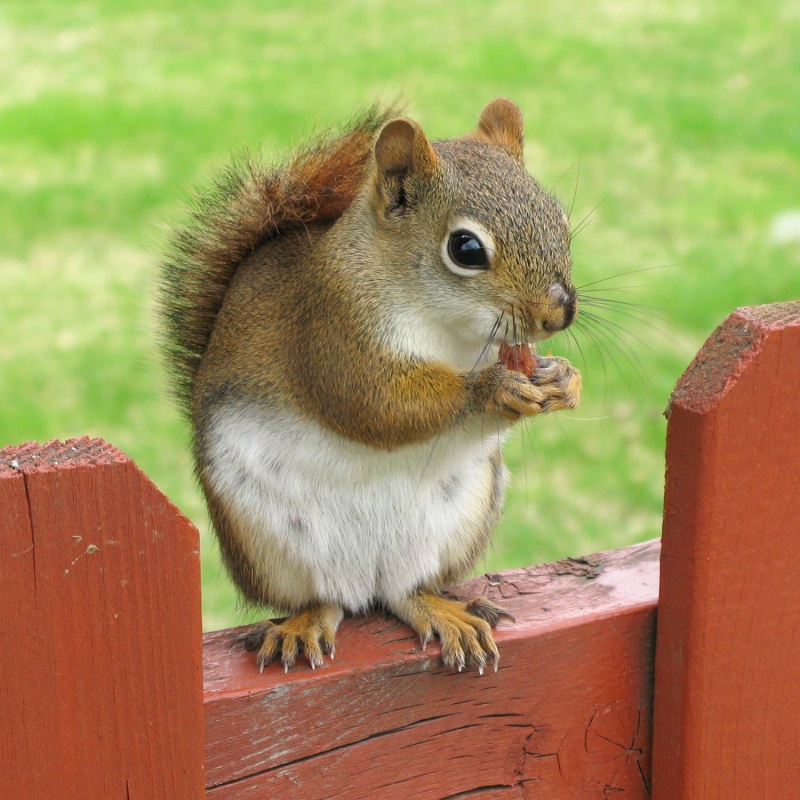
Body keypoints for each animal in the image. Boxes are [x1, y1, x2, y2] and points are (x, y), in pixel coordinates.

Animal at [159, 98, 581, 674]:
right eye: (466, 248)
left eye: (559, 218)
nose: (560, 313)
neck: (450, 330)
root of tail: (365, 580)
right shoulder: (332, 327)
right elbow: (377, 405)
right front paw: (493, 387)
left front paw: (564, 379)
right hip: (266, 540)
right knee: (320, 598)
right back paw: (302, 625)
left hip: (460, 519)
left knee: (406, 592)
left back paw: (444, 613)